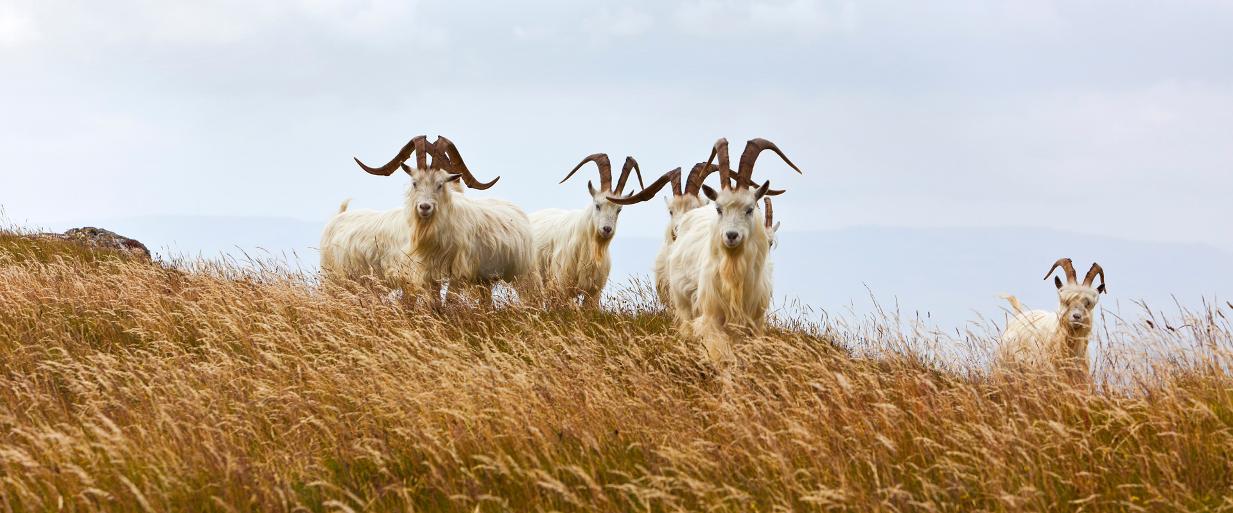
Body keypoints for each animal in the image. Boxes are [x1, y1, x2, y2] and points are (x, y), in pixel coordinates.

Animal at [318, 135, 535, 304]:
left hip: (517, 273)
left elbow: (446, 301)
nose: (424, 207)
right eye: (415, 183)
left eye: (440, 184)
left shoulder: (455, 272)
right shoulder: (422, 273)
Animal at [670, 138, 803, 362]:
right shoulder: (712, 318)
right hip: (685, 307)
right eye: (719, 209)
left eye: (749, 209)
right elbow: (719, 354)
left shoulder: (754, 323)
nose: (731, 235)